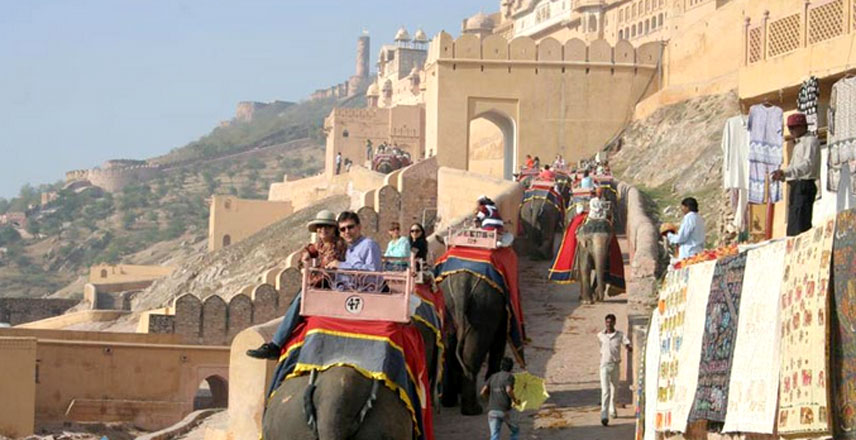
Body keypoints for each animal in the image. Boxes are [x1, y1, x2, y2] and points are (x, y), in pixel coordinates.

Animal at [442, 272, 508, 416]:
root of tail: (462, 286)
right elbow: (500, 339)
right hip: (483, 308)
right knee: (471, 357)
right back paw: (473, 410)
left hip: (448, 307)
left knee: (449, 352)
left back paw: (449, 402)